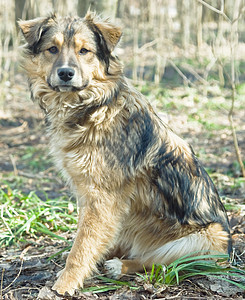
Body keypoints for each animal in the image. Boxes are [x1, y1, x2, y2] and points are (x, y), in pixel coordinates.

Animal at [18, 11, 231, 296]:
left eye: (84, 51)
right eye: (52, 49)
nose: (65, 73)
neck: (93, 106)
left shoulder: (102, 196)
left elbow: (82, 247)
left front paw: (65, 284)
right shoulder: (90, 195)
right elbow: (86, 238)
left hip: (204, 239)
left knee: (154, 260)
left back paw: (120, 266)